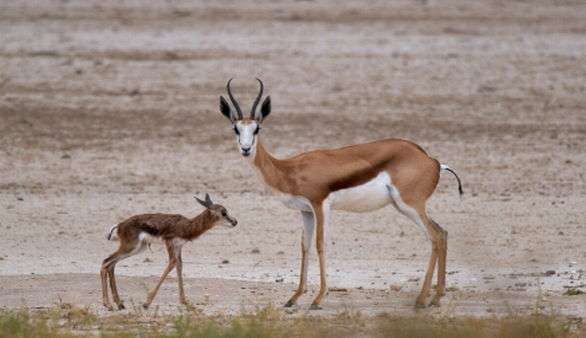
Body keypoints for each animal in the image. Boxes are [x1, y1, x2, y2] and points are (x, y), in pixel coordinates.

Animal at [101, 194, 237, 310]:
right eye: (223, 212)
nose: (235, 222)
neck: (186, 226)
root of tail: (119, 225)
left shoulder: (178, 247)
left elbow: (179, 266)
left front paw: (184, 302)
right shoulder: (169, 243)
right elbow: (171, 264)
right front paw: (146, 303)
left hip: (137, 249)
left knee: (111, 264)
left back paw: (119, 304)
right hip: (131, 247)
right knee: (106, 261)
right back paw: (108, 305)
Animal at [217, 79, 464, 308]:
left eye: (257, 128)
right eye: (236, 129)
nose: (245, 149)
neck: (289, 169)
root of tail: (432, 161)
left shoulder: (320, 205)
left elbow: (320, 244)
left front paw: (317, 299)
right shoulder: (305, 211)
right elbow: (305, 246)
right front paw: (294, 298)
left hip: (410, 205)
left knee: (434, 236)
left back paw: (421, 300)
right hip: (406, 206)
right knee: (442, 233)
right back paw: (436, 298)